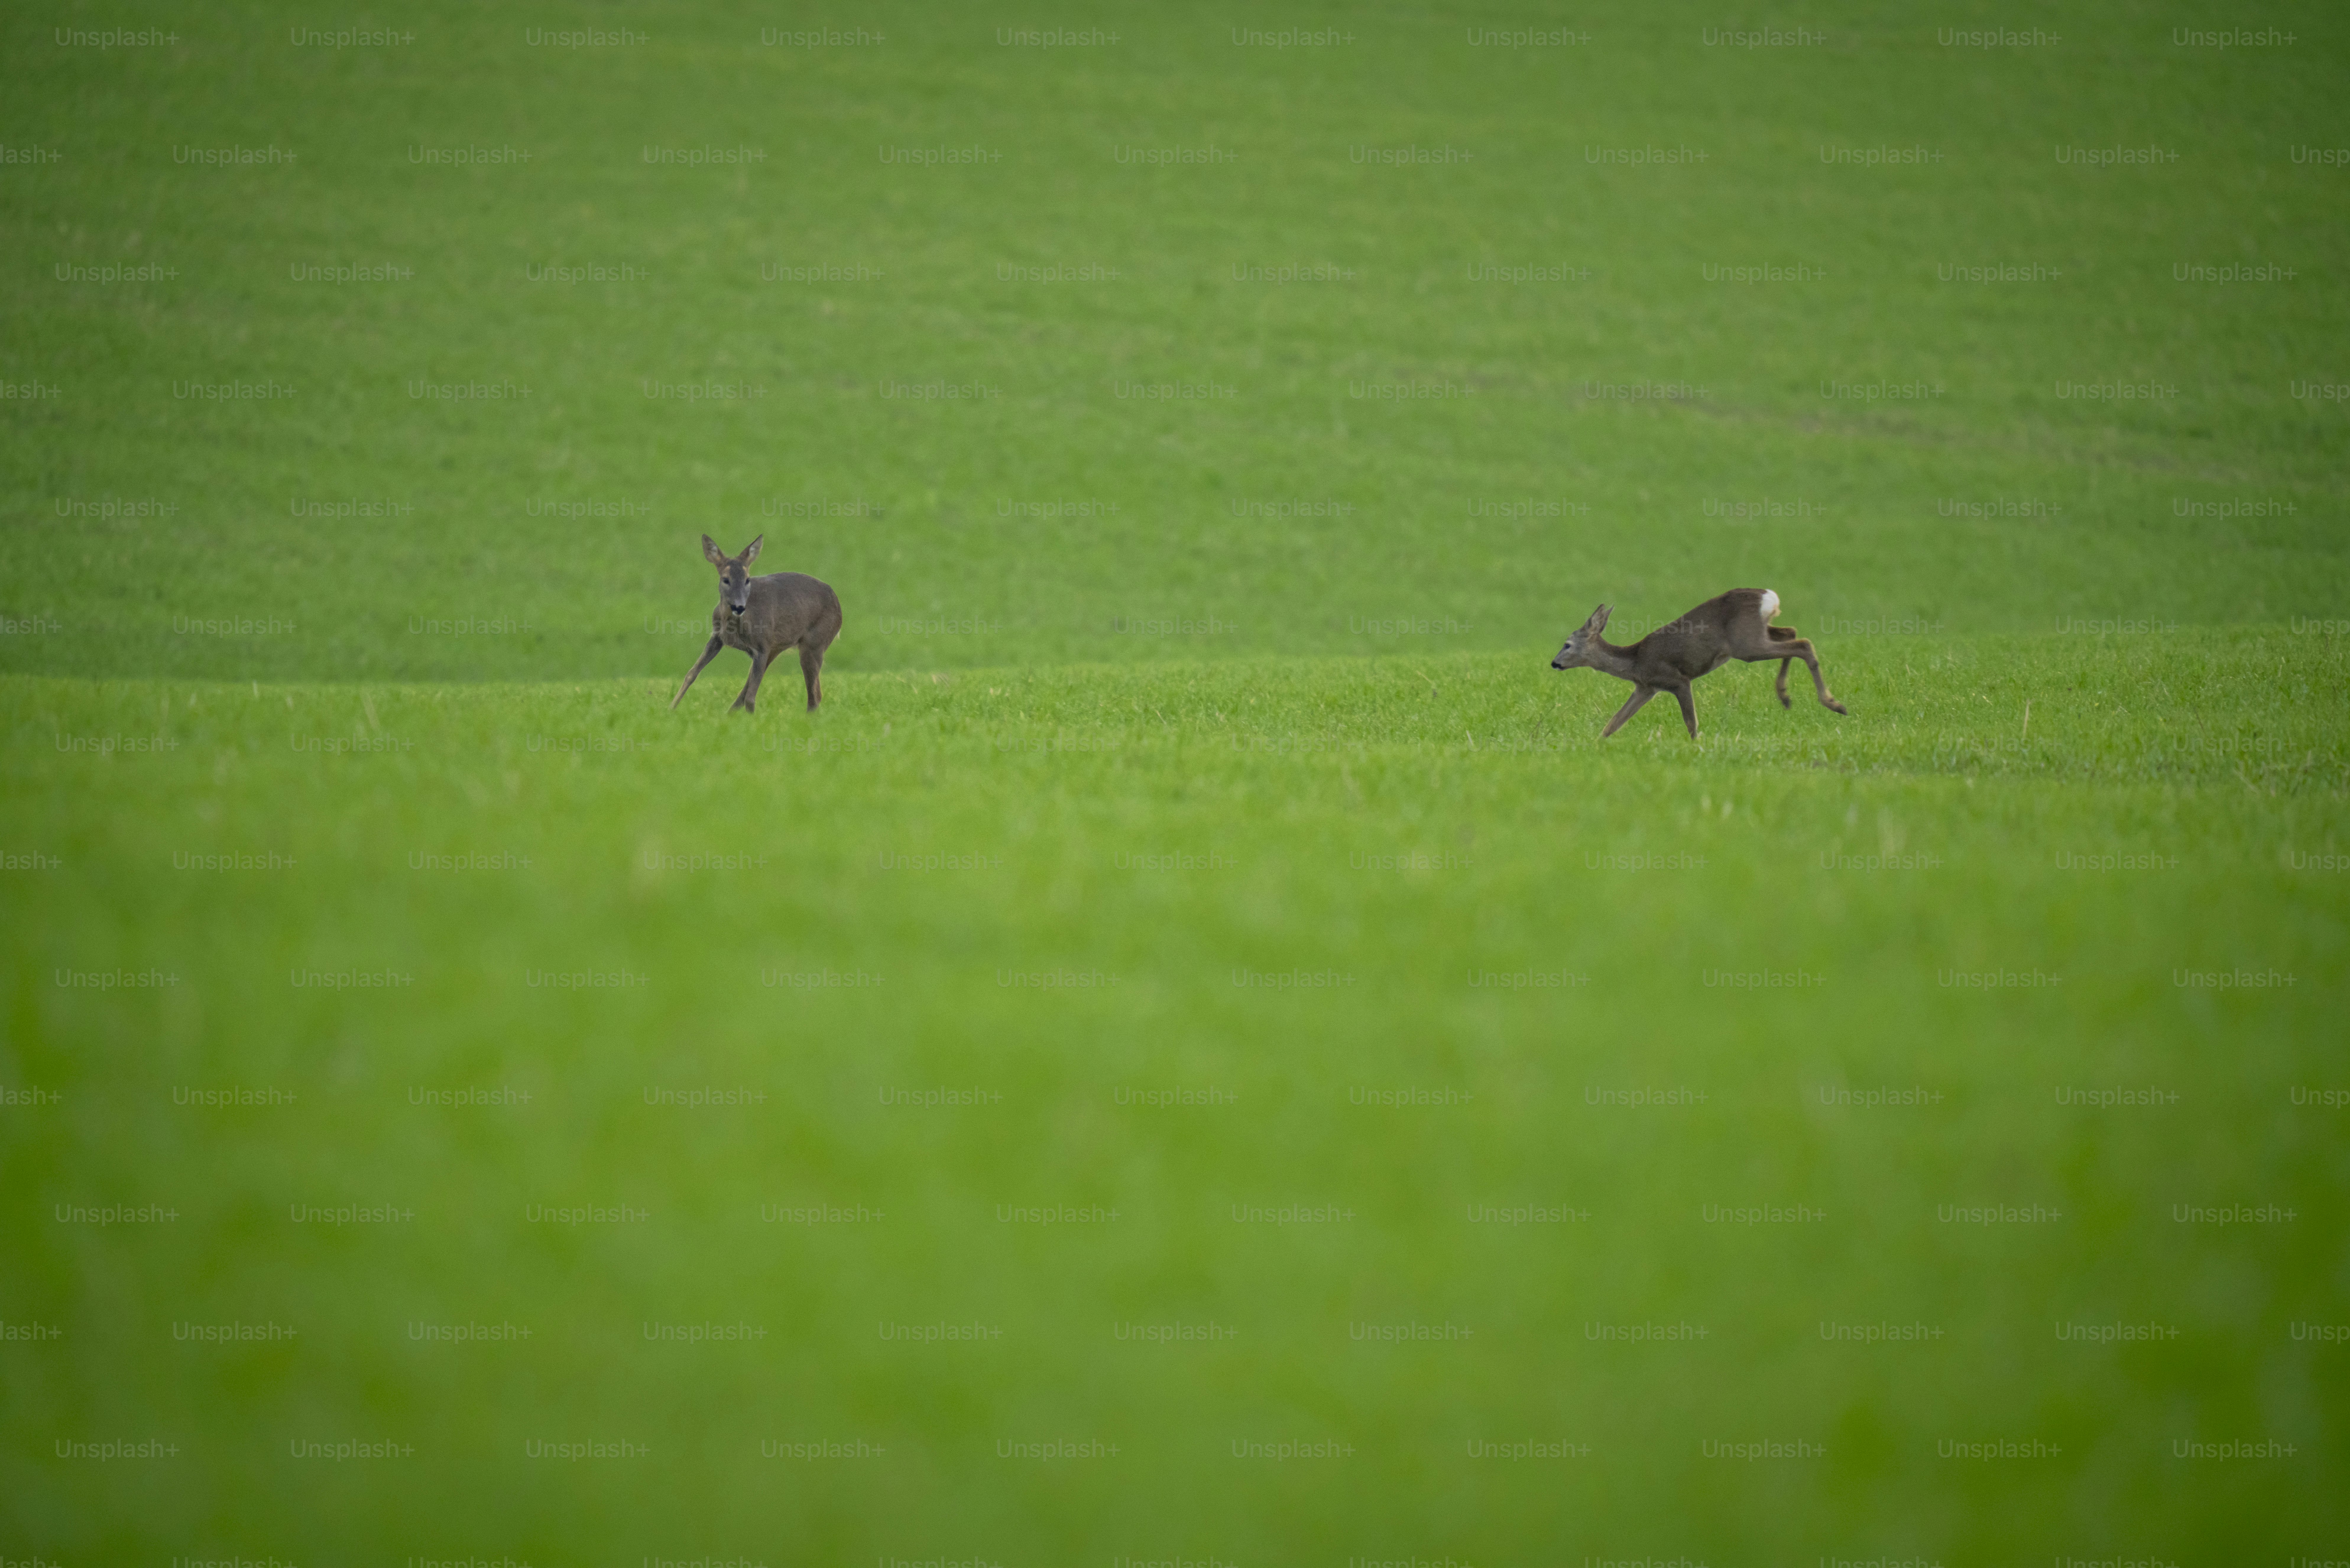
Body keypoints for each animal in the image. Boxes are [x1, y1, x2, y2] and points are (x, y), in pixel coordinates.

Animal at [670, 535, 843, 715]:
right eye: (726, 580)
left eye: (747, 580)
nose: (739, 607)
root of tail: (838, 605)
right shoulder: (718, 637)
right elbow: (692, 674)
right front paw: (671, 709)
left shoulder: (762, 647)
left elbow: (751, 698)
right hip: (778, 648)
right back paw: (729, 715)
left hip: (814, 643)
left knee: (815, 695)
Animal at [1550, 588, 1847, 740]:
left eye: (1567, 644)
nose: (1554, 663)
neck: (1635, 662)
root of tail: (1768, 596)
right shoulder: (1646, 688)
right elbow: (1614, 723)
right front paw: (1596, 747)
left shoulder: (1677, 680)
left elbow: (1691, 722)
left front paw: (1696, 749)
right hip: (1759, 633)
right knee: (1792, 633)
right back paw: (1785, 697)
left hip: (1746, 645)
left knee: (1803, 644)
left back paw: (1834, 704)